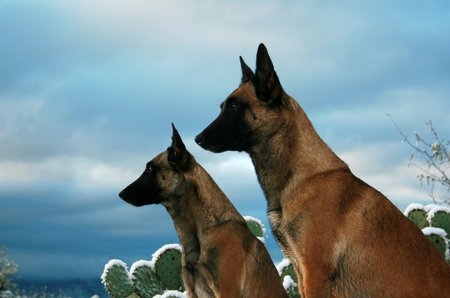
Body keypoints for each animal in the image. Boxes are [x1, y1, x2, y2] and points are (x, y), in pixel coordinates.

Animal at [196, 43, 450, 296]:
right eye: (223, 107)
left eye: (234, 107)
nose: (197, 139)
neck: (300, 178)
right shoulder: (301, 271)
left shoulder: (315, 270)